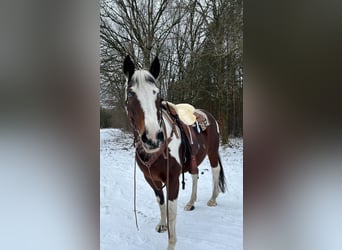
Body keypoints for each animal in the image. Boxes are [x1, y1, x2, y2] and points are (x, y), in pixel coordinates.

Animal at [123, 55, 227, 250]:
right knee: (195, 174)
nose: (152, 138)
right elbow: (161, 202)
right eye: (131, 93)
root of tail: (208, 115)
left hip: (213, 152)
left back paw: (213, 199)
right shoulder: (152, 179)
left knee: (215, 171)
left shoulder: (172, 179)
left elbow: (171, 211)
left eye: (157, 93)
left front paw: (171, 243)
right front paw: (162, 225)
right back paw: (191, 203)